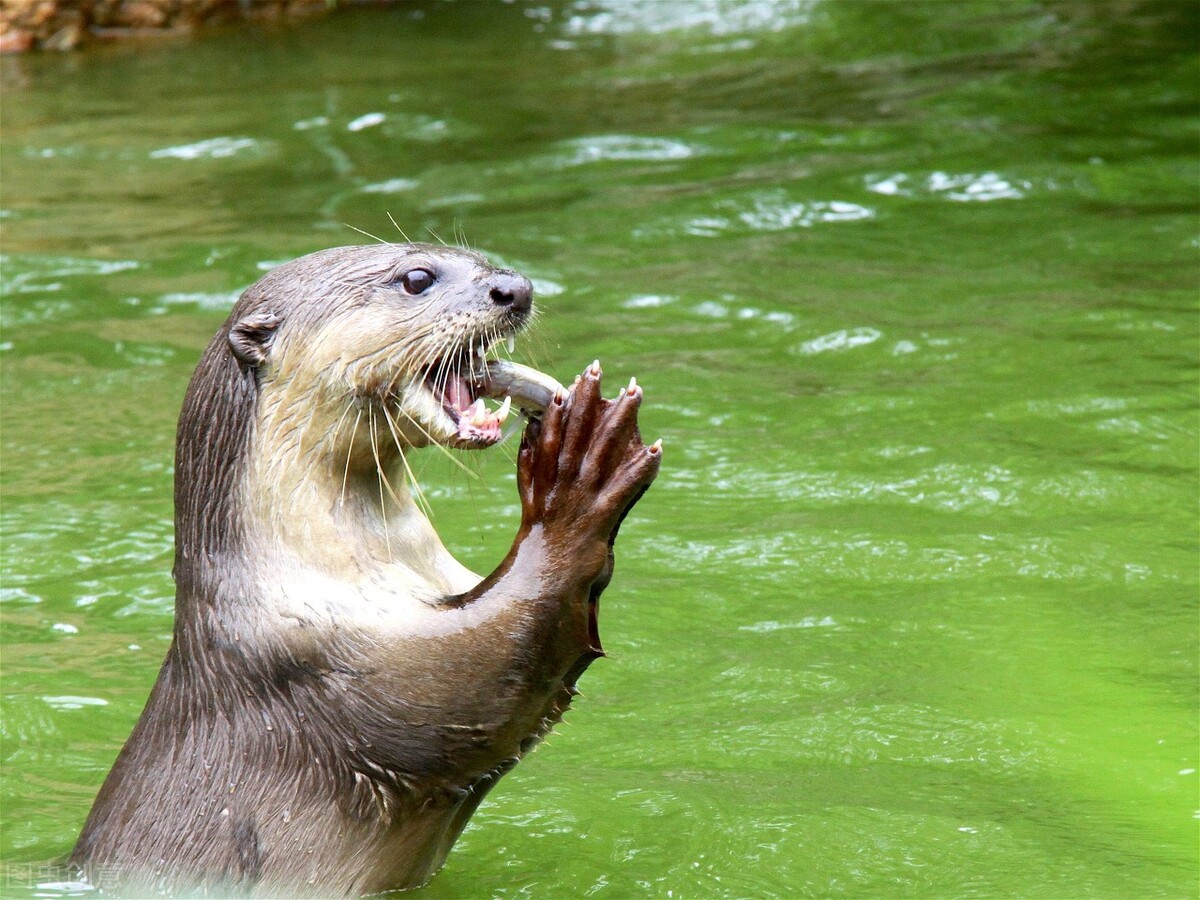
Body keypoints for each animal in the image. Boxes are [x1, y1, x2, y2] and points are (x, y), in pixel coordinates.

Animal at [70, 243, 662, 897]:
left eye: (477, 257)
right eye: (417, 278)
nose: (516, 289)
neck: (290, 575)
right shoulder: (323, 668)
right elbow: (485, 682)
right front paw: (578, 469)